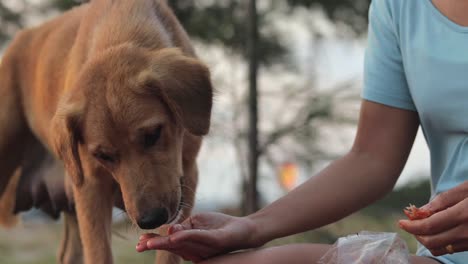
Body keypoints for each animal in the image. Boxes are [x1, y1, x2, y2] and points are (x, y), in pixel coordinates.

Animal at [0, 1, 214, 262]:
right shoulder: (90, 188)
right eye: (103, 155)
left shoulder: (187, 176)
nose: (150, 219)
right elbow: (99, 253)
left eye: (153, 134)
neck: (121, 24)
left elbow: (169, 251)